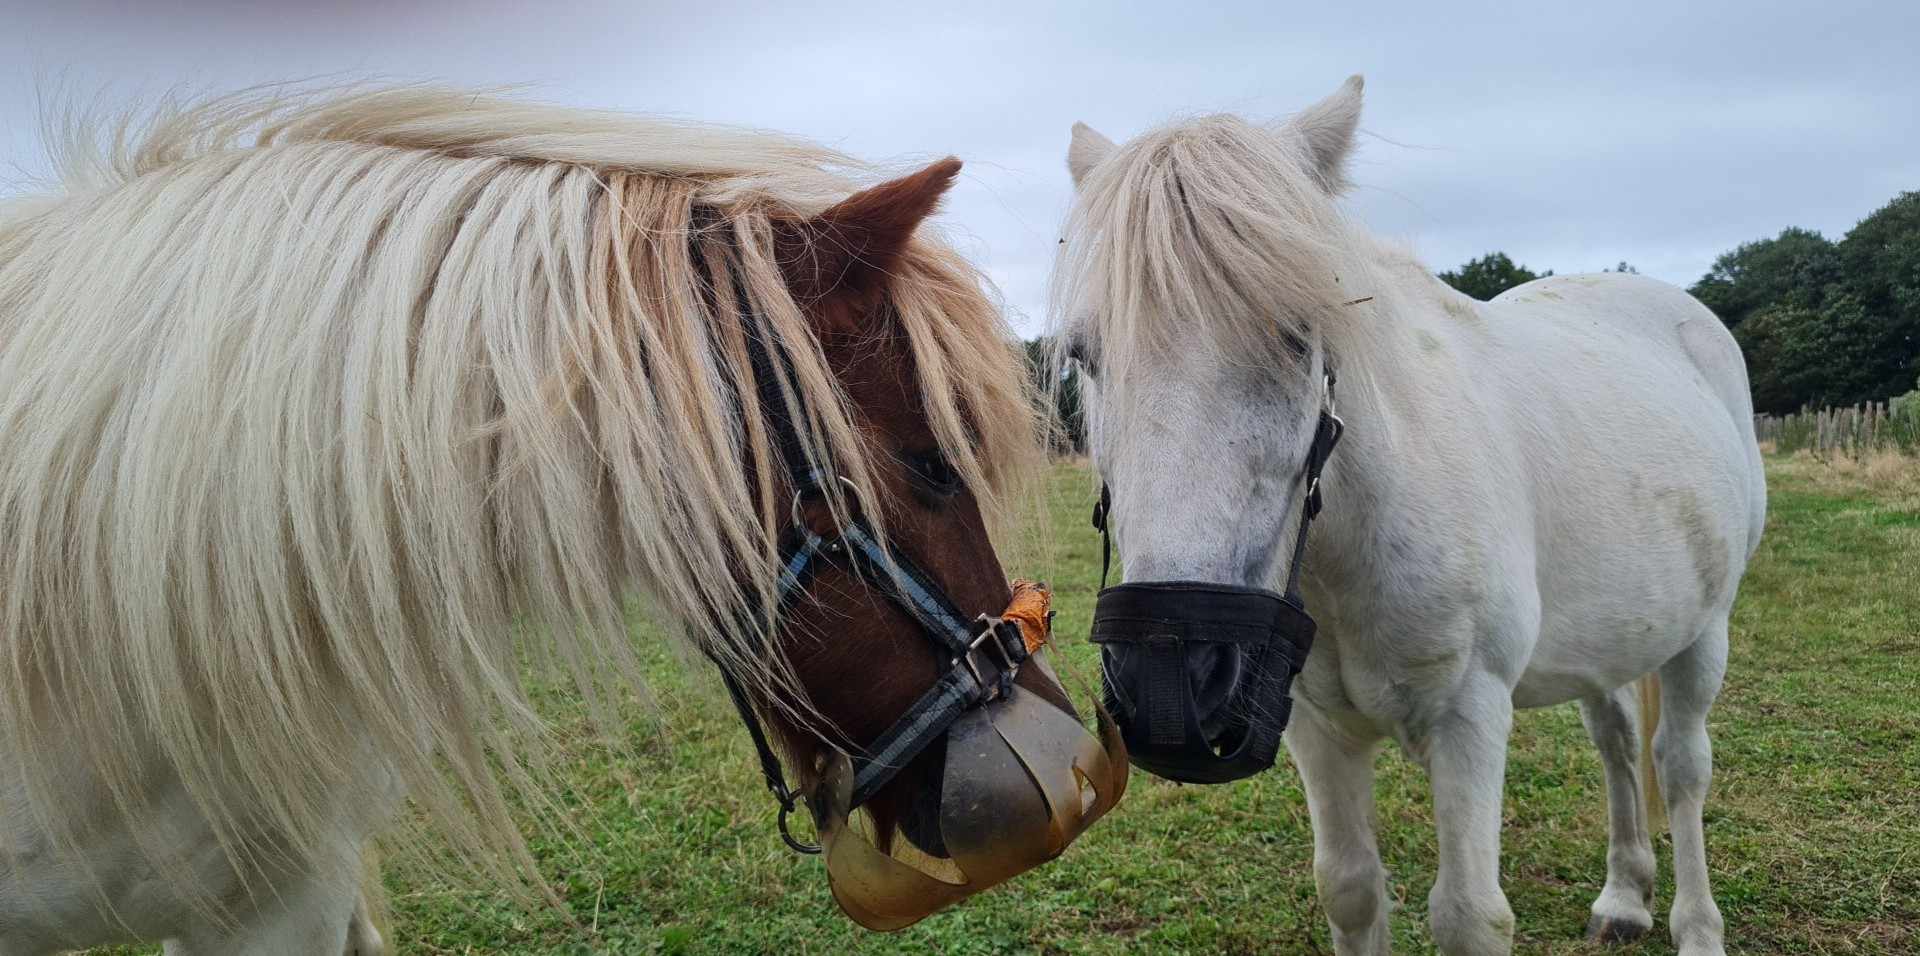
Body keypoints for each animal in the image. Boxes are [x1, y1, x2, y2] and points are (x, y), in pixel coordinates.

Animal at [1059, 74, 1758, 956]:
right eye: (1085, 354)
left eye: (1297, 336)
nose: (1168, 677)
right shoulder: (1315, 729)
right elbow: (1352, 890)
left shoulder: (1469, 718)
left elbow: (1467, 913)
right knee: (1618, 740)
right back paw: (1624, 896)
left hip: (1706, 630)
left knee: (1682, 765)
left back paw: (1695, 925)